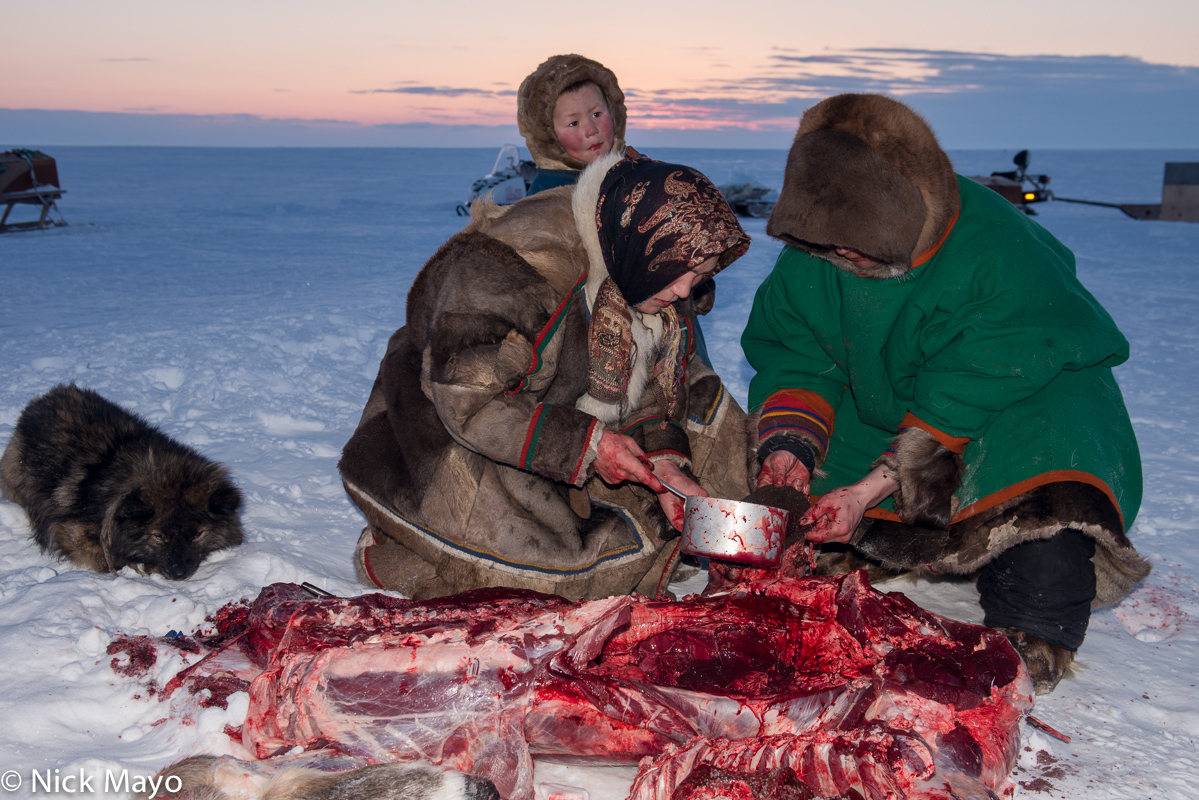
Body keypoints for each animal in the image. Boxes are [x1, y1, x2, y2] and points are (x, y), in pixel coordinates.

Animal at [0, 383, 245, 578]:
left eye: (195, 534)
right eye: (158, 536)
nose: (178, 574)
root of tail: (47, 396)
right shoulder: (71, 531)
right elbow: (108, 557)